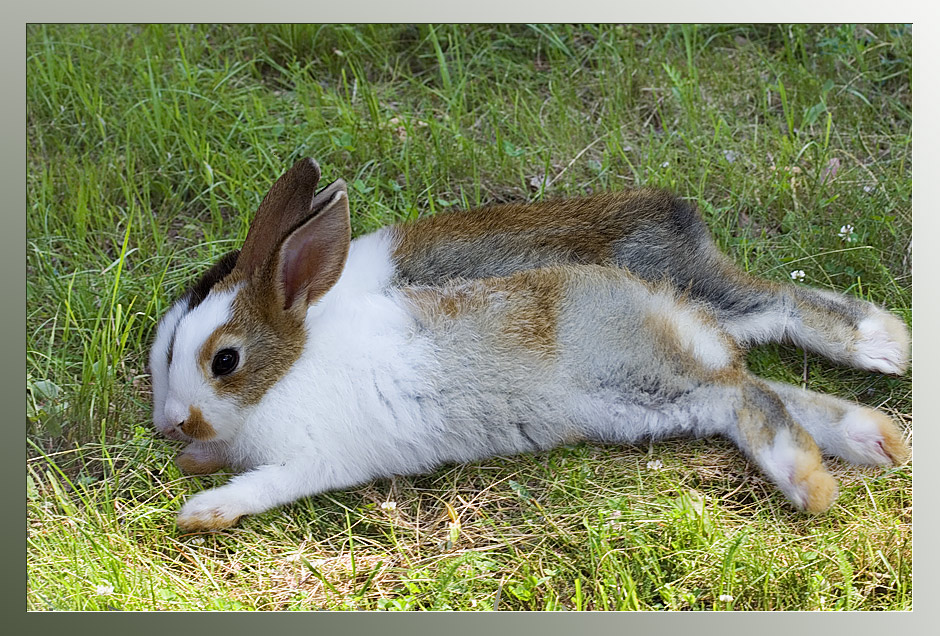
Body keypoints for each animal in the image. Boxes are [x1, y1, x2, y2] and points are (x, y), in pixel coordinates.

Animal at [149, 159, 912, 532]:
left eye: (224, 361)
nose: (169, 424)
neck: (293, 364)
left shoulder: (313, 457)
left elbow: (265, 483)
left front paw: (202, 512)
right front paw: (194, 464)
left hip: (650, 363)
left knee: (760, 370)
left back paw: (823, 462)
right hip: (647, 399)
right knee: (751, 388)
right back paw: (873, 438)